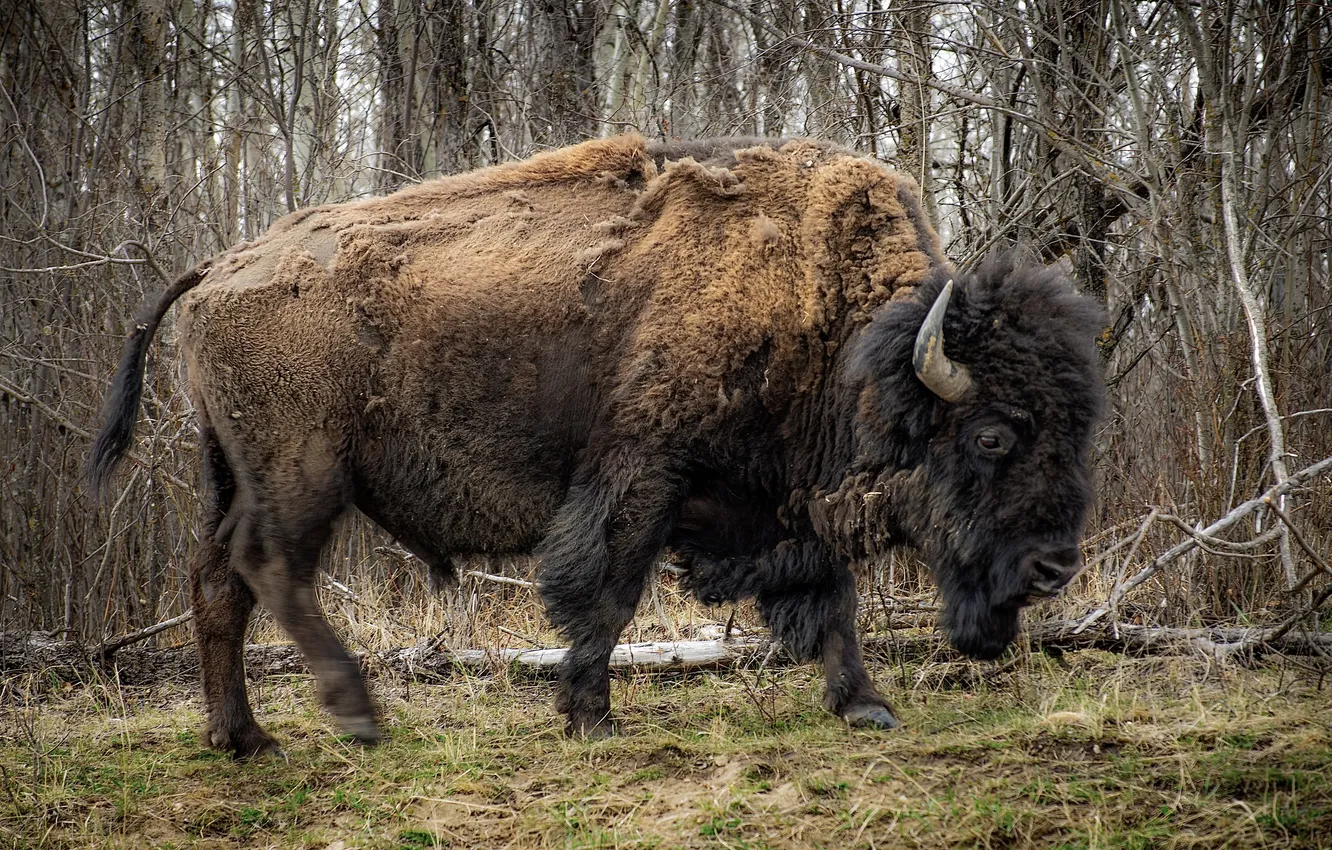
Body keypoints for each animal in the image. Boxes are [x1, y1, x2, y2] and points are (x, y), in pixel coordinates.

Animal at [90, 136, 1105, 755]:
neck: (833, 326)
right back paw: (357, 716)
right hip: (300, 475)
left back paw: (243, 738)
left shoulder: (774, 501)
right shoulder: (640, 475)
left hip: (234, 473)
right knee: (270, 570)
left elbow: (831, 600)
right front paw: (589, 716)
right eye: (992, 433)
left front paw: (868, 707)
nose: (1055, 566)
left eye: (1079, 426)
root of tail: (220, 268)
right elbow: (607, 595)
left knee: (216, 580)